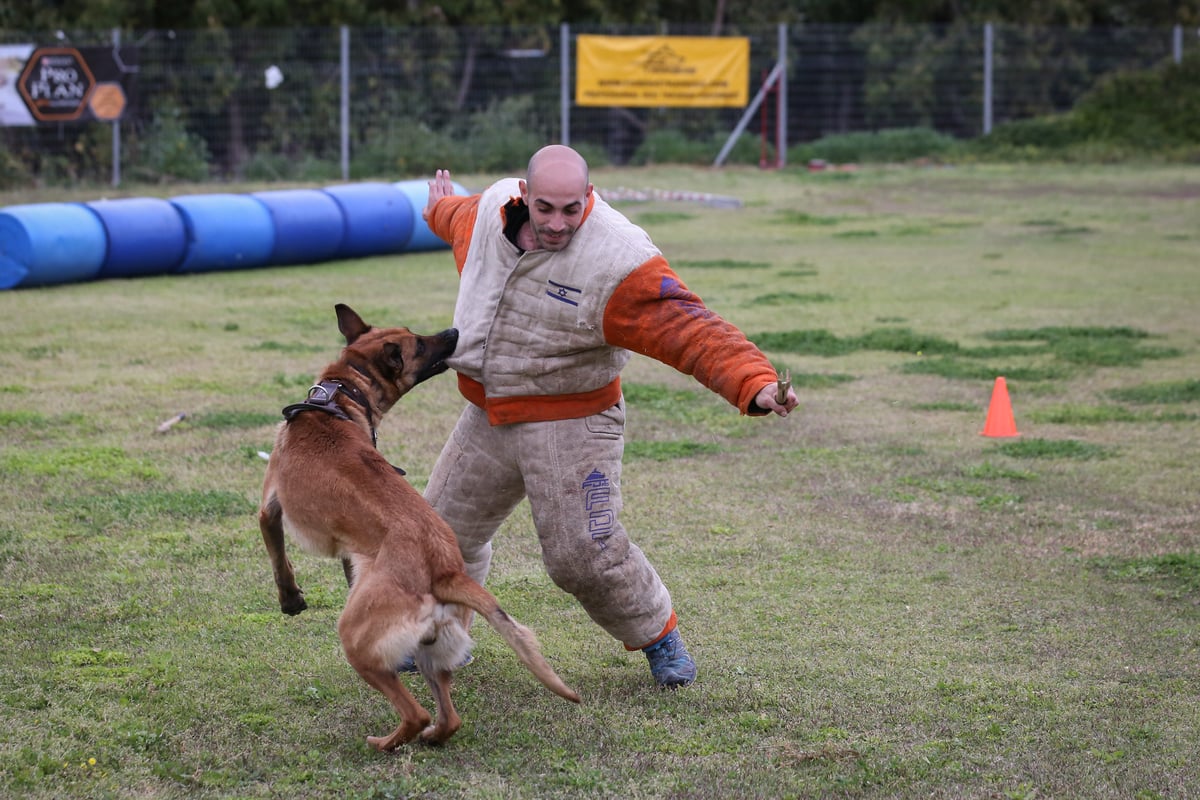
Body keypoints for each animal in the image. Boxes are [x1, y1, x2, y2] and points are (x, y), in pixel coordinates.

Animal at [259, 304, 580, 753]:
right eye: (419, 342)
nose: (454, 331)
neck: (339, 396)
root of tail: (445, 569)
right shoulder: (350, 552)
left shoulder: (269, 507)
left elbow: (279, 559)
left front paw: (290, 600)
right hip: (434, 651)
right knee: (449, 719)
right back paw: (430, 738)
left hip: (357, 641)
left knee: (416, 713)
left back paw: (384, 742)